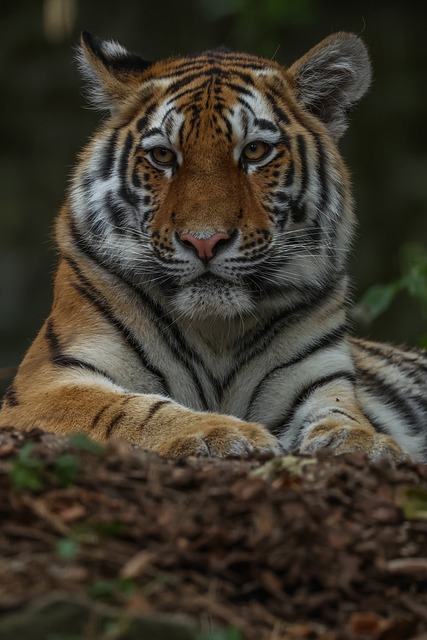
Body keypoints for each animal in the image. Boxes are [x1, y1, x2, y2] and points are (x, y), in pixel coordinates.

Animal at [1, 31, 426, 462]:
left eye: (255, 151)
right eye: (162, 155)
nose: (204, 242)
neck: (217, 332)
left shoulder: (319, 380)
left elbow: (342, 415)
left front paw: (365, 444)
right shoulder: (46, 382)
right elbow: (131, 409)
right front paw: (222, 432)